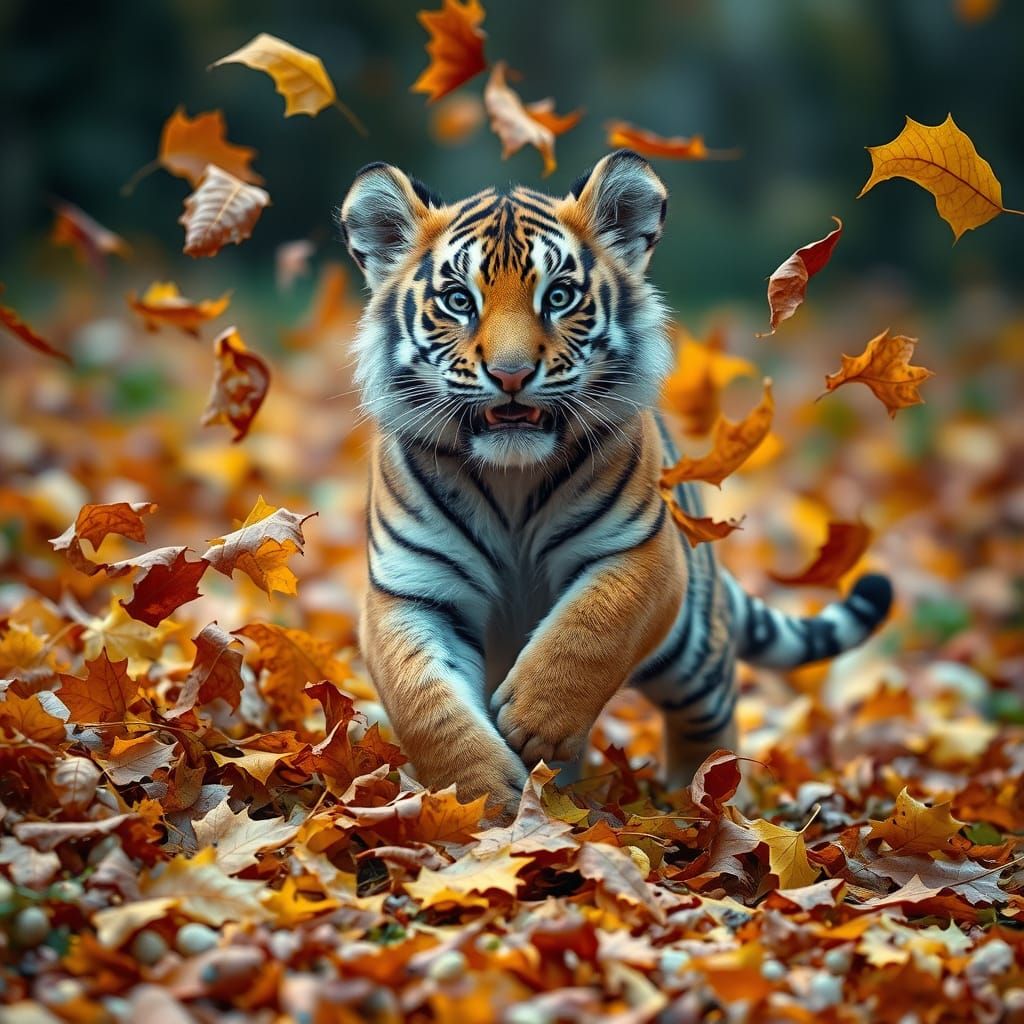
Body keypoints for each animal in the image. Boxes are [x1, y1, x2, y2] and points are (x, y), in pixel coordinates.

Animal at [338, 149, 892, 816]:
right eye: (457, 300)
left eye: (558, 295)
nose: (511, 374)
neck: (512, 479)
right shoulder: (410, 590)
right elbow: (426, 705)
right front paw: (480, 801)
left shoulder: (640, 549)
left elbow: (591, 626)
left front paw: (534, 719)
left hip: (692, 653)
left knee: (711, 717)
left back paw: (699, 802)